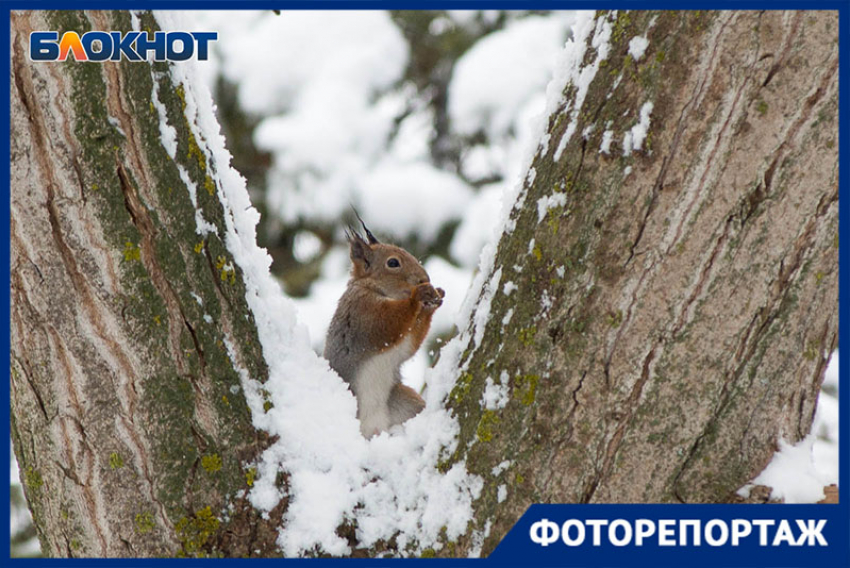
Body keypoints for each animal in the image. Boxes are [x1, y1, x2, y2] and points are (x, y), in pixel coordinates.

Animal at [322, 215, 444, 438]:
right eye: (393, 263)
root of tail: (374, 428)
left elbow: (408, 345)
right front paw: (417, 297)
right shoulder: (363, 312)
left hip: (402, 401)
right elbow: (388, 324)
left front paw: (432, 302)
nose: (424, 279)